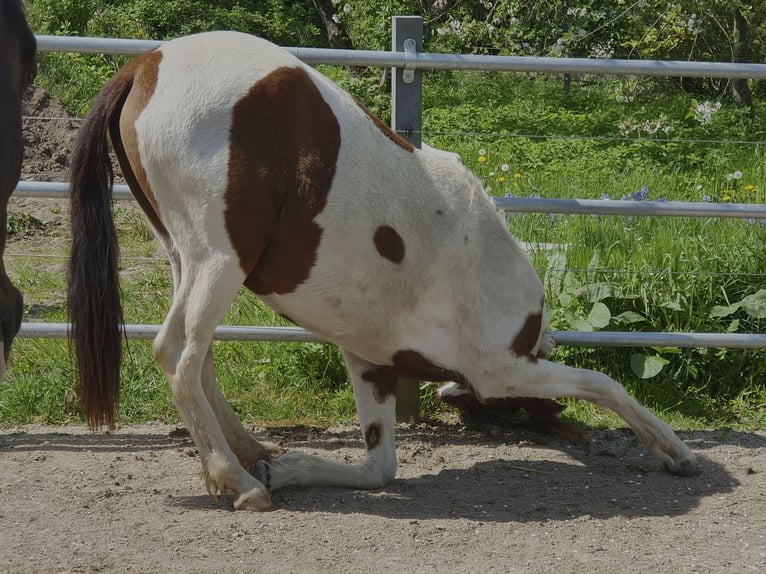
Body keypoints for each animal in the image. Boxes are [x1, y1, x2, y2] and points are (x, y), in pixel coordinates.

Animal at [70, 30, 704, 512]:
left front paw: (295, 467)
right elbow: (604, 384)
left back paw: (255, 456)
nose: (572, 437)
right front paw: (673, 449)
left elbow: (381, 469)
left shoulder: (370, 362)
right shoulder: (500, 368)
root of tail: (147, 64)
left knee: (199, 361)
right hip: (217, 262)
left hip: (188, 260)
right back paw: (240, 481)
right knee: (178, 353)